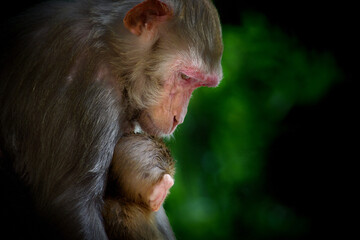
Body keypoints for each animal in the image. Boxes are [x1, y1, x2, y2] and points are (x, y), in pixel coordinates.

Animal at [0, 0, 222, 239]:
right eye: (185, 77)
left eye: (199, 83)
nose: (178, 118)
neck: (113, 51)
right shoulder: (88, 80)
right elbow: (72, 206)